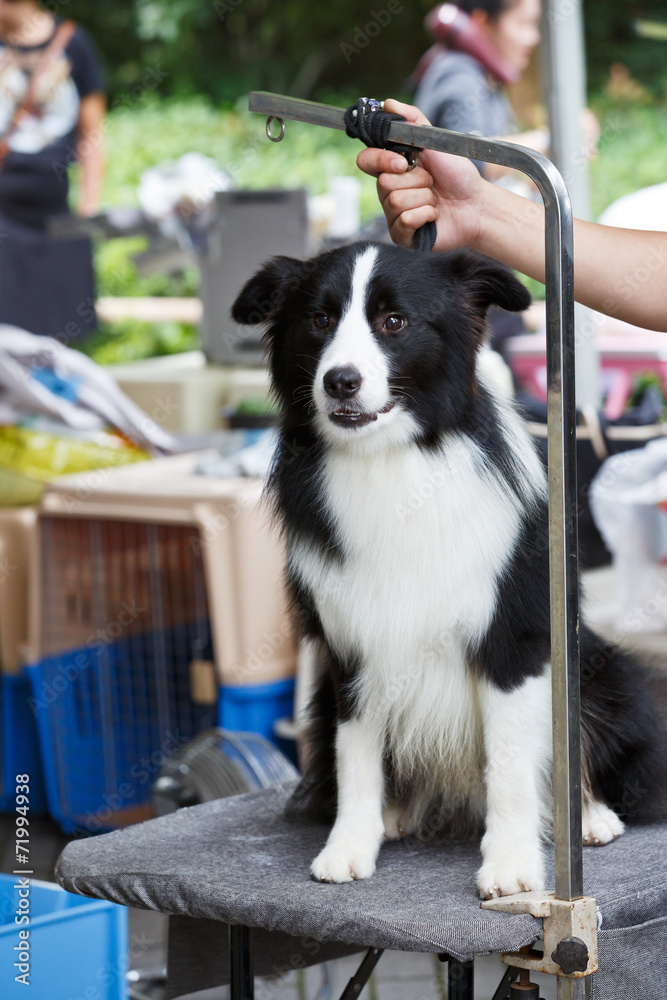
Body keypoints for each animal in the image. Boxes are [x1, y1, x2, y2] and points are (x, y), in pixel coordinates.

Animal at [232, 242, 667, 900]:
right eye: (319, 320)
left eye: (394, 321)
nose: (340, 380)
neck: (392, 461)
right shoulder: (351, 648)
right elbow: (356, 756)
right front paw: (350, 845)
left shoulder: (512, 640)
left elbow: (511, 761)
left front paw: (511, 863)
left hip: (599, 670)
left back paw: (591, 817)